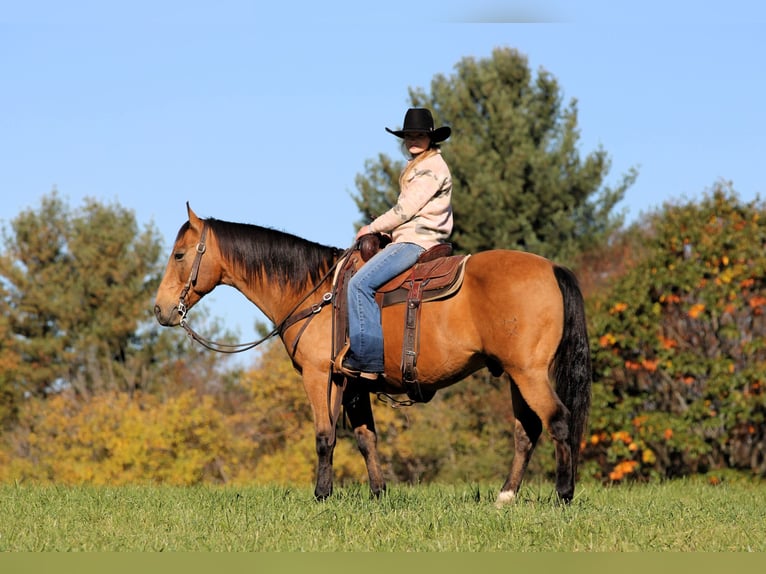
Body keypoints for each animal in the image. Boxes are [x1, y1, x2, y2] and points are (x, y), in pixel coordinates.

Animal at [153, 204, 592, 505]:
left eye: (179, 255)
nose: (160, 310)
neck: (317, 291)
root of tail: (553, 268)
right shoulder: (353, 383)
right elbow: (366, 438)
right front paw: (378, 493)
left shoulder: (320, 376)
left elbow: (324, 436)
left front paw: (322, 495)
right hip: (517, 375)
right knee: (526, 431)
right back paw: (506, 496)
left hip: (529, 373)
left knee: (559, 421)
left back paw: (563, 494)